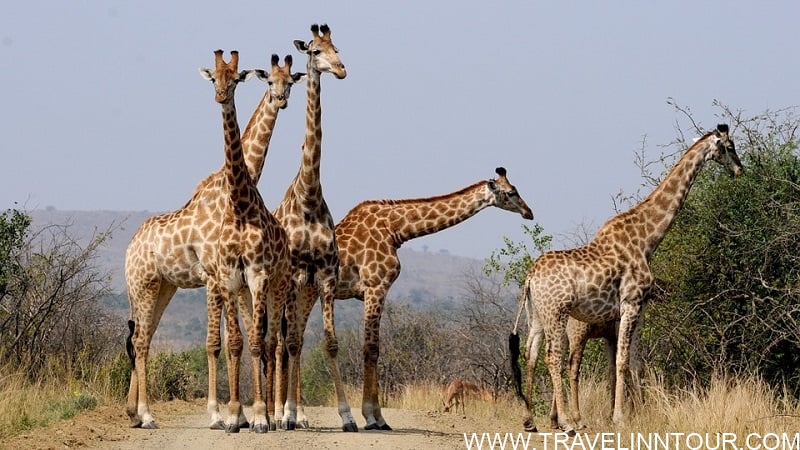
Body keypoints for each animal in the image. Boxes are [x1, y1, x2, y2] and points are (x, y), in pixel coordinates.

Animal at [124, 52, 300, 431]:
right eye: (269, 81)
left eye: (290, 81)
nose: (281, 99)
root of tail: (129, 248)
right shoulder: (213, 275)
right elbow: (214, 343)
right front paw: (220, 414)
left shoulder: (232, 278)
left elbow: (238, 339)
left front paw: (243, 415)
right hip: (143, 284)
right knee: (141, 340)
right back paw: (146, 414)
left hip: (163, 287)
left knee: (142, 337)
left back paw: (134, 412)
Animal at [332, 167, 533, 430]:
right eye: (511, 192)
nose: (529, 212)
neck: (395, 229)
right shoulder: (375, 287)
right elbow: (371, 349)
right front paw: (374, 418)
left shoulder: (373, 291)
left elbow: (374, 349)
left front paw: (376, 417)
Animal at [518, 124, 742, 435]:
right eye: (730, 147)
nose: (740, 170)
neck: (647, 239)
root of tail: (530, 276)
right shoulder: (631, 303)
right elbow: (622, 362)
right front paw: (620, 417)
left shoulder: (640, 307)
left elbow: (635, 363)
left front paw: (636, 413)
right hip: (558, 312)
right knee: (554, 356)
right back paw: (566, 422)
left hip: (537, 314)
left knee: (531, 353)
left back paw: (530, 421)